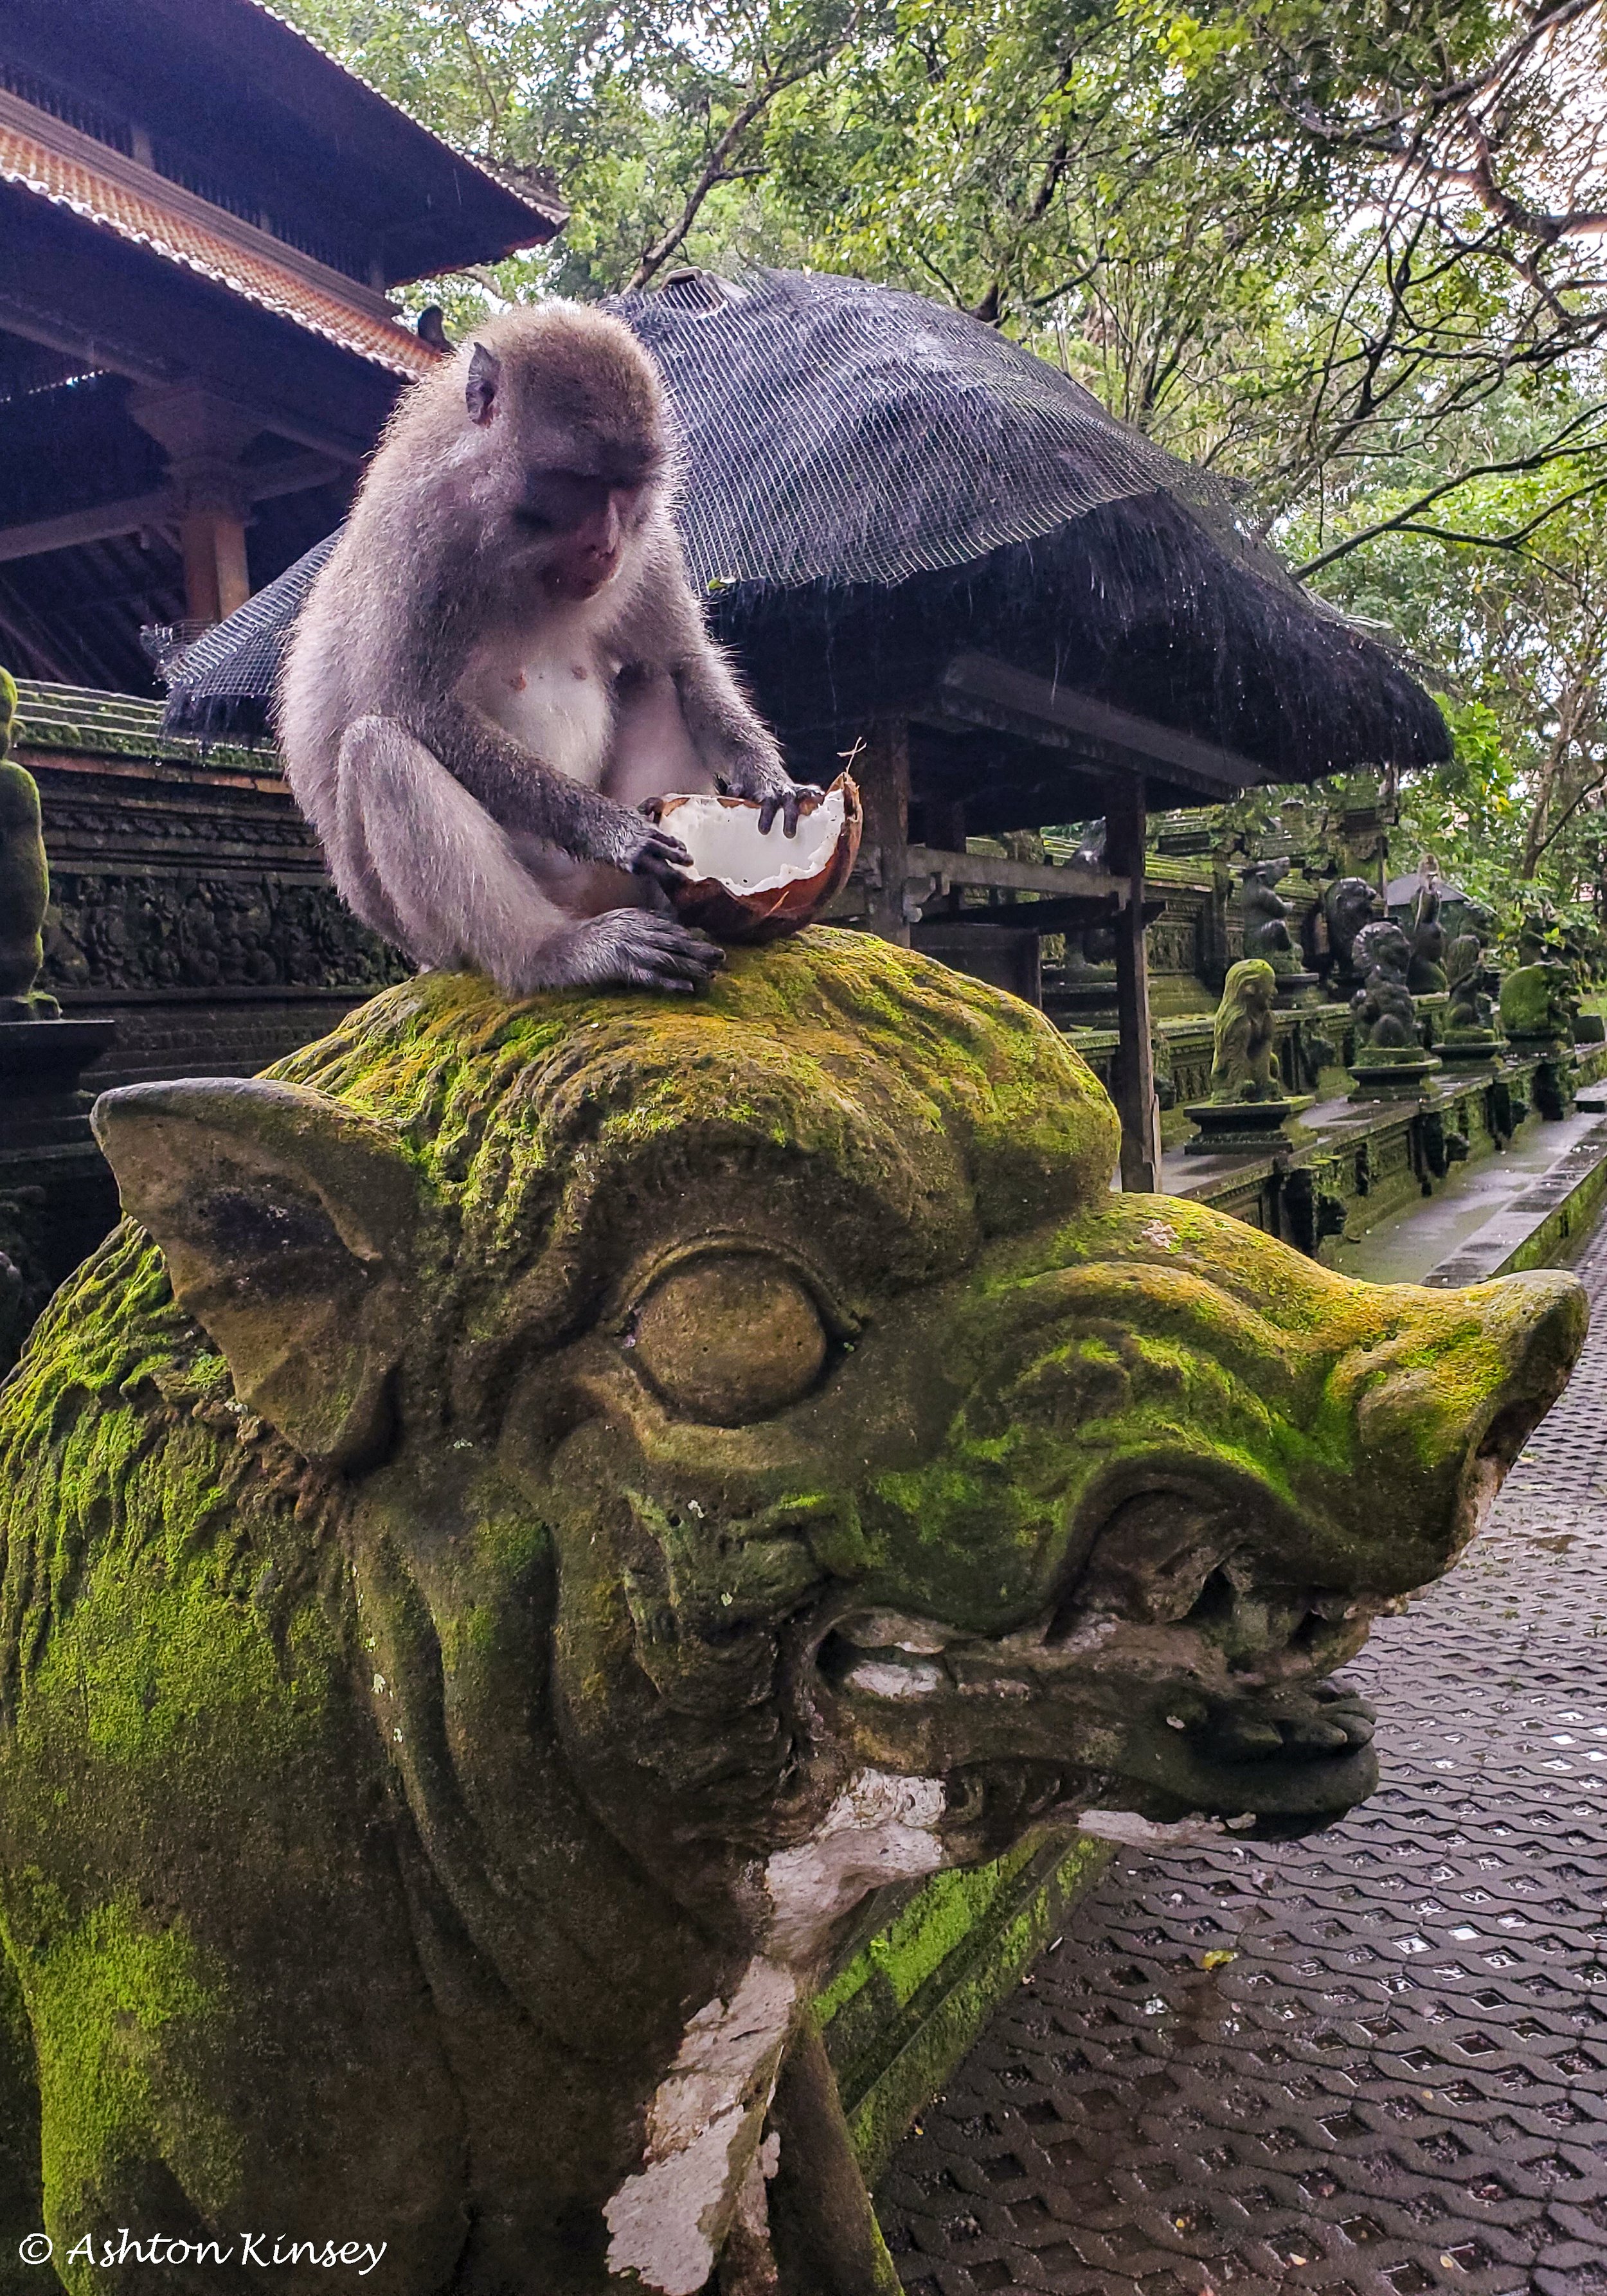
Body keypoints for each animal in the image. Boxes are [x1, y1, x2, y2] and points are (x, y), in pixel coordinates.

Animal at [276, 300, 815, 996]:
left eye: (626, 485)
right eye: (577, 482)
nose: (606, 547)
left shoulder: (650, 543)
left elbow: (682, 664)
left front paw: (766, 778)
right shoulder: (417, 537)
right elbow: (415, 705)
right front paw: (613, 830)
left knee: (654, 677)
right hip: (431, 934)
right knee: (380, 750)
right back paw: (556, 952)